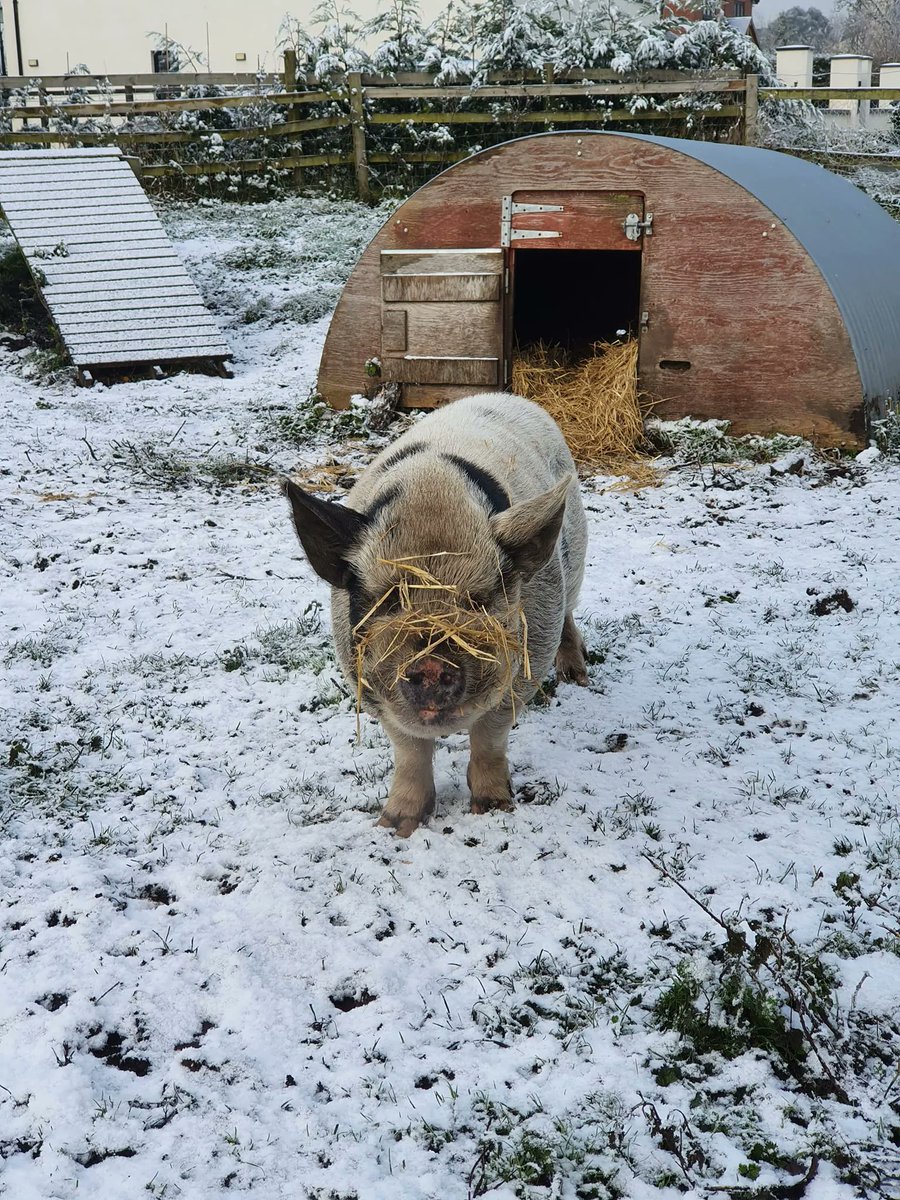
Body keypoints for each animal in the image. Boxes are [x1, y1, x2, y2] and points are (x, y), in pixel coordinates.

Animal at [284, 392, 588, 836]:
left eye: (478, 600)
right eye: (391, 599)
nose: (430, 662)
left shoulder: (529, 660)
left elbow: (490, 735)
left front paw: (494, 809)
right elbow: (409, 748)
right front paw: (393, 826)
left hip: (574, 560)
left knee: (570, 613)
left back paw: (577, 677)